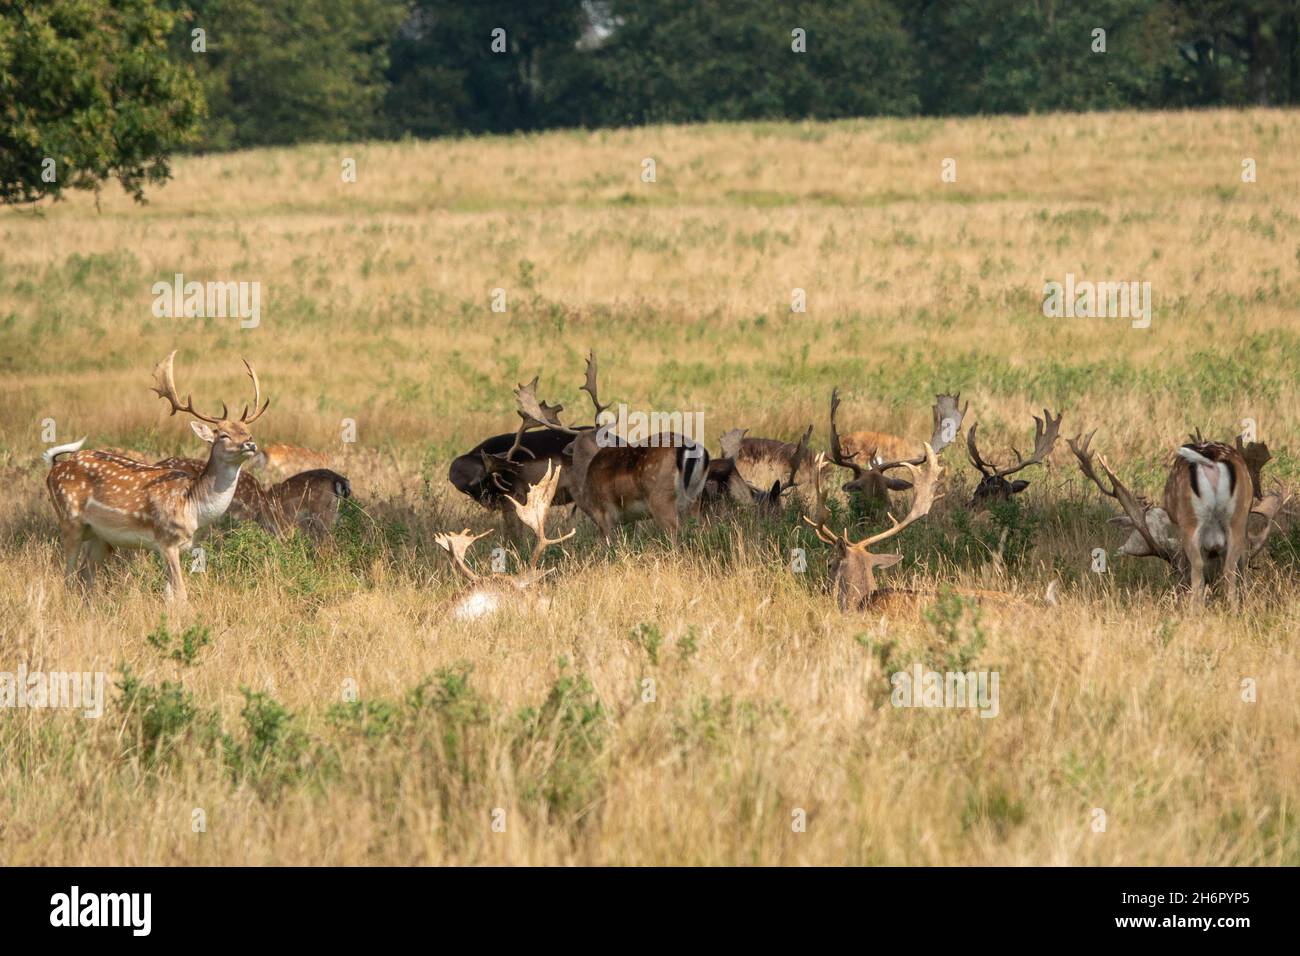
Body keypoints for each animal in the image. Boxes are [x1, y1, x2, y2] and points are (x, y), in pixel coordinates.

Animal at [43, 351, 269, 602]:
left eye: (247, 432)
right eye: (223, 435)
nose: (250, 444)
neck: (193, 507)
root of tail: (55, 466)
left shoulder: (178, 546)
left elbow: (168, 595)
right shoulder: (166, 539)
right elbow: (181, 593)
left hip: (101, 536)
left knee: (85, 575)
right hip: (69, 520)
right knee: (68, 576)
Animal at [1070, 430, 1285, 602]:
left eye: (1175, 571)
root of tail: (1211, 458)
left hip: (1191, 521)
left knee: (1198, 568)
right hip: (1237, 520)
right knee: (1230, 570)